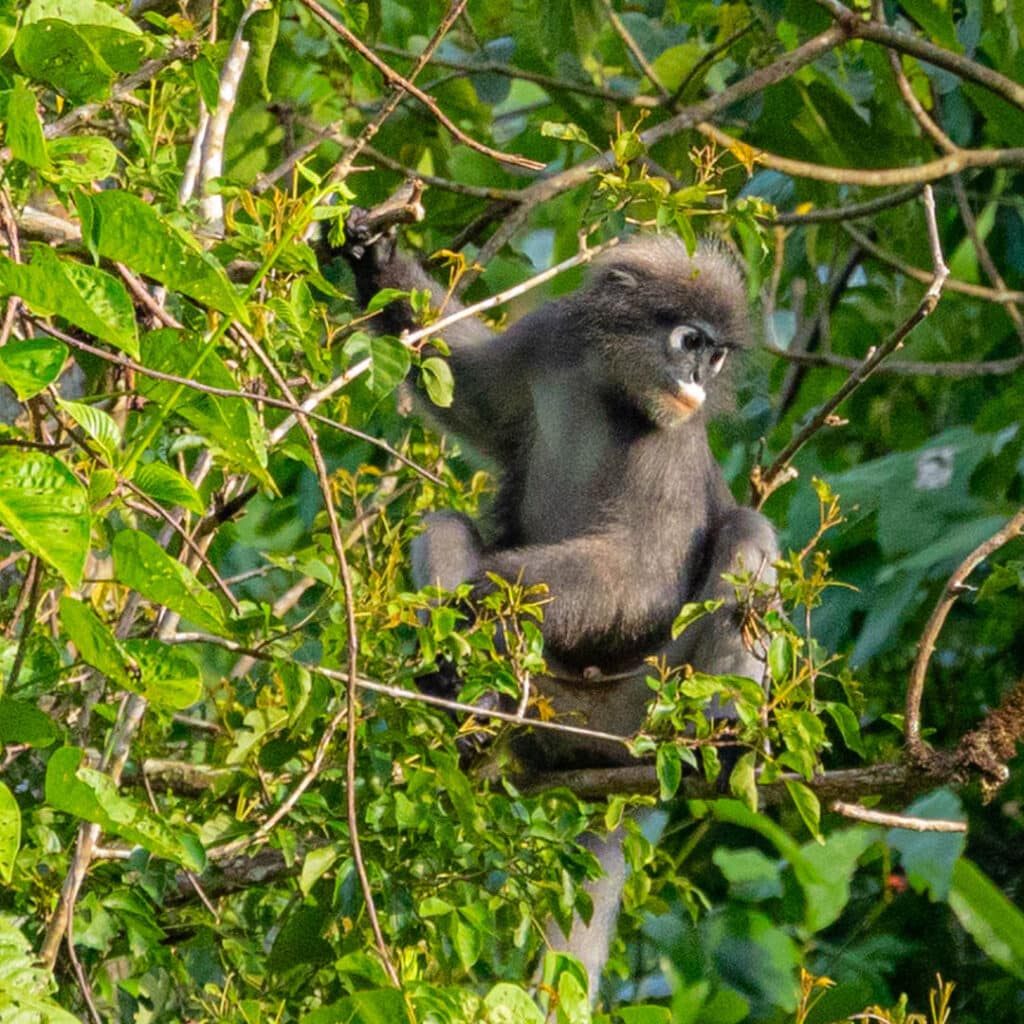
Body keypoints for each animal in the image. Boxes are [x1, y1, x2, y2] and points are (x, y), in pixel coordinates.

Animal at [339, 216, 777, 1000]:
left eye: (718, 355)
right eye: (691, 342)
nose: (701, 380)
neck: (610, 390)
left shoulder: (671, 445)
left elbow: (642, 576)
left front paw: (486, 592)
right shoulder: (549, 340)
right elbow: (469, 390)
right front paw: (375, 259)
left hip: (643, 706)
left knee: (748, 530)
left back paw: (725, 737)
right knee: (442, 524)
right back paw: (467, 703)